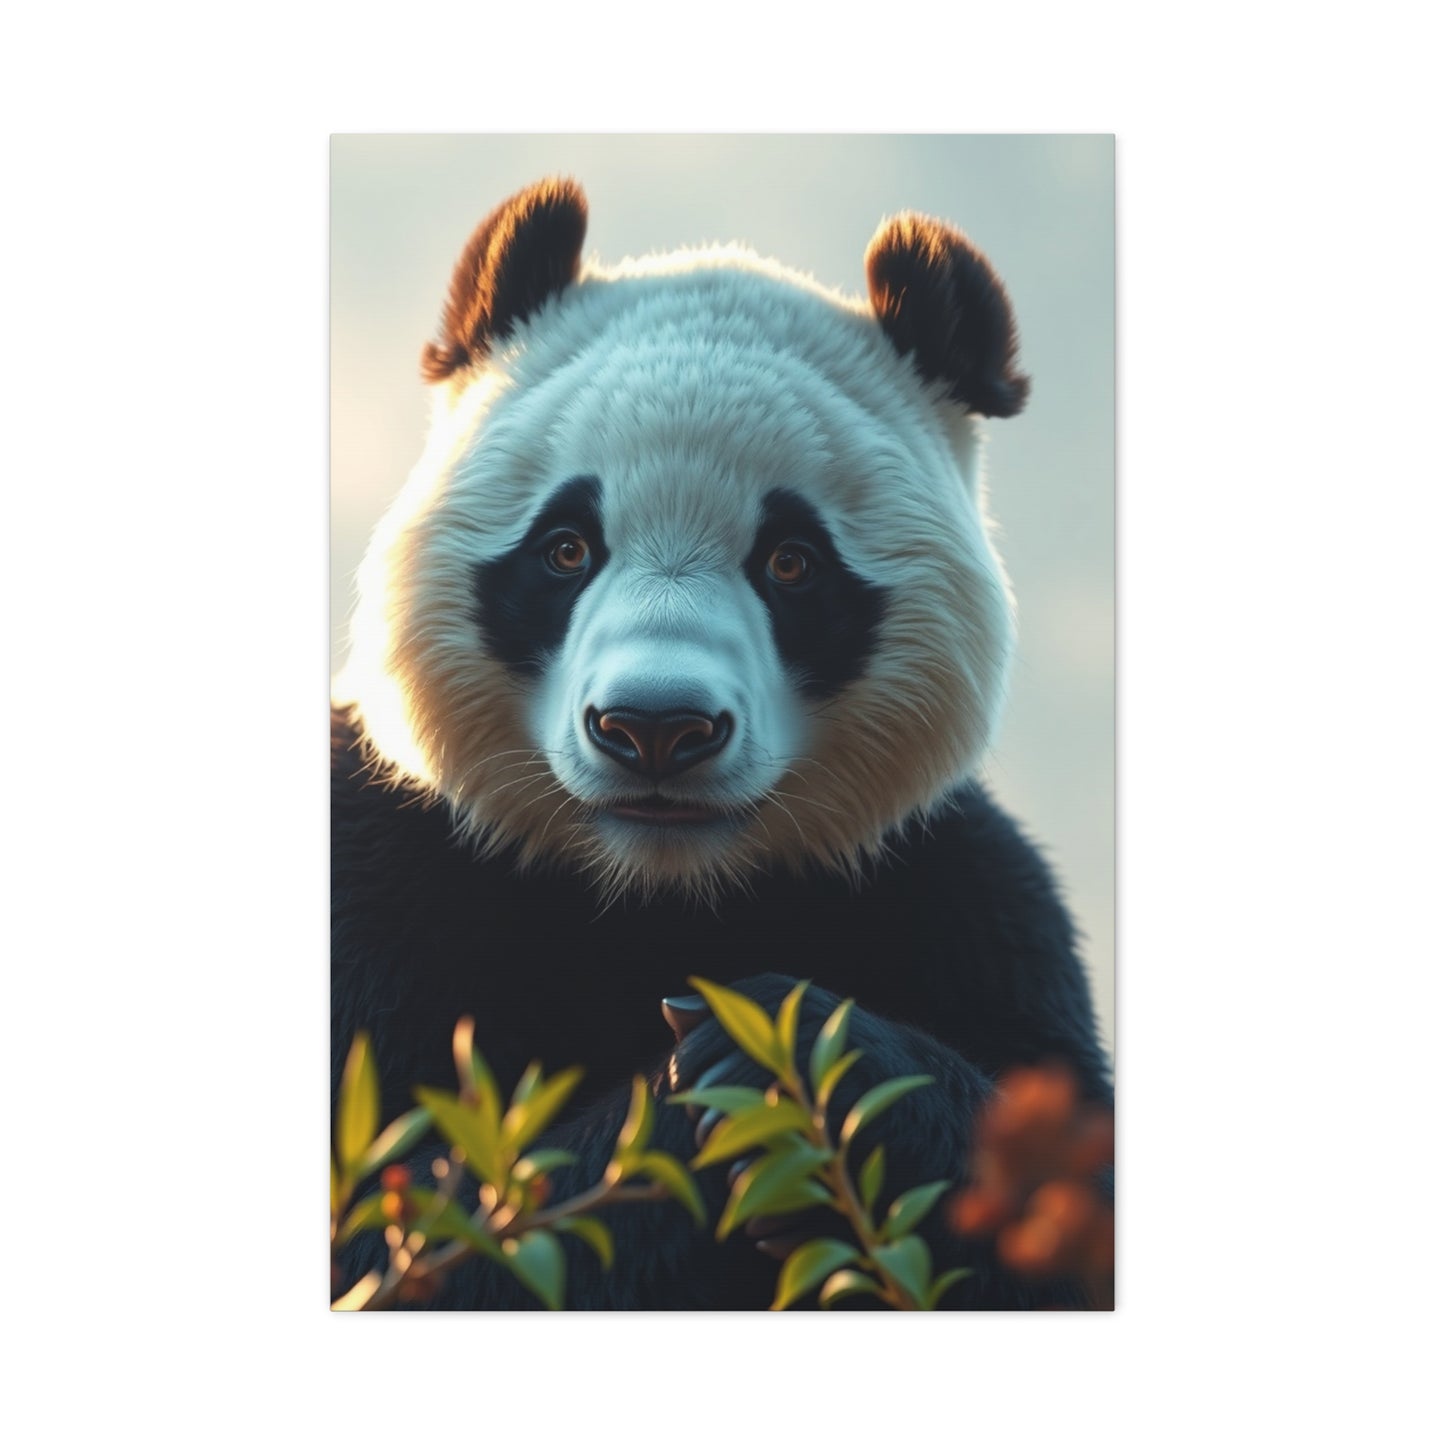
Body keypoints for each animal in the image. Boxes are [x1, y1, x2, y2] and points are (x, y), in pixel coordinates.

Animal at [332, 177, 1111, 1309]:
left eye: (790, 562)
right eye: (564, 548)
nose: (655, 728)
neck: (659, 892)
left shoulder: (963, 902)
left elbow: (1059, 1197)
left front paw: (781, 1052)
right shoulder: (384, 877)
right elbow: (410, 1233)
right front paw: (699, 1092)